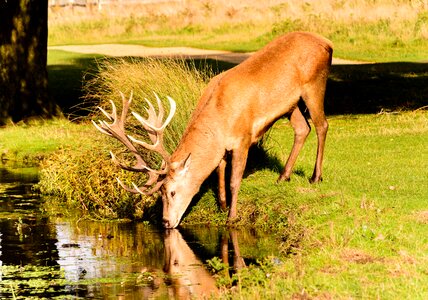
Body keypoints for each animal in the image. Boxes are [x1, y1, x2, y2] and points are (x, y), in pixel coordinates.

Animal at [93, 31, 332, 227]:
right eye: (159, 192)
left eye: (172, 191)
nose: (165, 222)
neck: (220, 118)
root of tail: (327, 44)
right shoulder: (222, 147)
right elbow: (219, 174)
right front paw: (223, 206)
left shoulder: (243, 138)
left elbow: (234, 180)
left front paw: (232, 217)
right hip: (291, 104)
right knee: (302, 128)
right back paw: (283, 177)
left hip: (314, 84)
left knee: (322, 125)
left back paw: (315, 177)